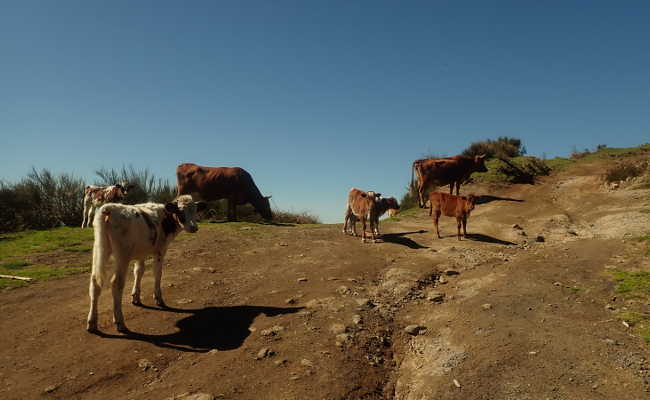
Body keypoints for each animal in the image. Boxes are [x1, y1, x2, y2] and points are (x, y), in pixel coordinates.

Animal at [85, 195, 204, 332]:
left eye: (195, 210)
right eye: (180, 211)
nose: (194, 227)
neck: (165, 218)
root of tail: (109, 207)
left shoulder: (141, 253)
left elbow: (139, 272)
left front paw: (136, 297)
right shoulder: (160, 250)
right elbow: (157, 273)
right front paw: (158, 299)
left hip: (99, 250)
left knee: (95, 282)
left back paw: (92, 322)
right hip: (122, 255)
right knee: (116, 283)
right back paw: (120, 321)